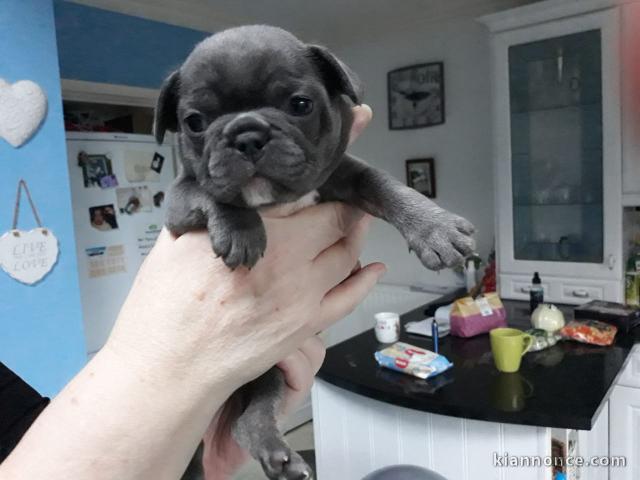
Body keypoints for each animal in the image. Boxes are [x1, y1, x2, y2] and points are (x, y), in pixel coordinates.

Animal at [155, 25, 476, 480]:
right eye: (194, 122)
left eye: (300, 105)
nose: (246, 135)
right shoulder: (179, 204)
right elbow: (211, 192)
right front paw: (241, 230)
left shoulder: (346, 172)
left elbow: (388, 185)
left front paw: (435, 228)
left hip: (269, 372)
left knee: (248, 420)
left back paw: (280, 457)